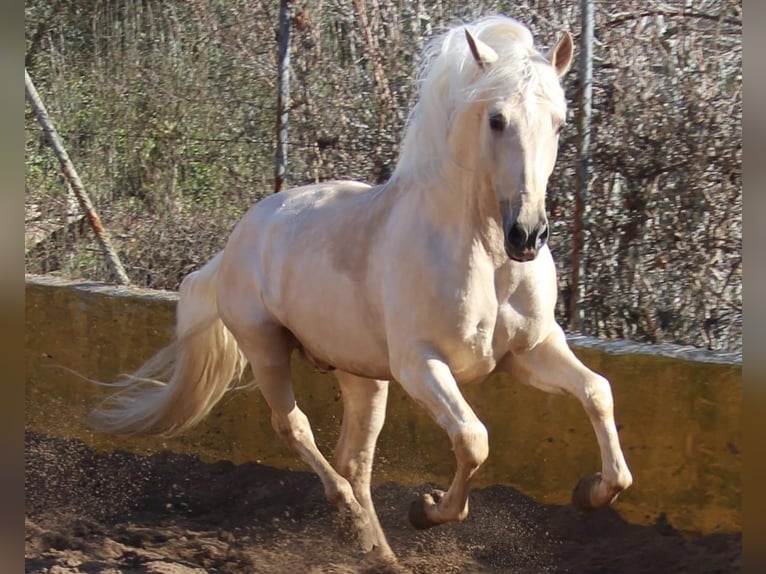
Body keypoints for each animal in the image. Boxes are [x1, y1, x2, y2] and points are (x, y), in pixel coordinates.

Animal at [90, 15, 632, 564]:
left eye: (560, 123)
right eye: (496, 120)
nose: (527, 235)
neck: (485, 257)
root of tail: (237, 240)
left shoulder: (532, 350)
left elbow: (599, 392)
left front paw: (592, 492)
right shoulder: (420, 364)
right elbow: (473, 438)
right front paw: (427, 510)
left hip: (362, 376)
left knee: (354, 459)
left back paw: (378, 551)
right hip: (266, 346)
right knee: (296, 428)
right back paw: (351, 520)